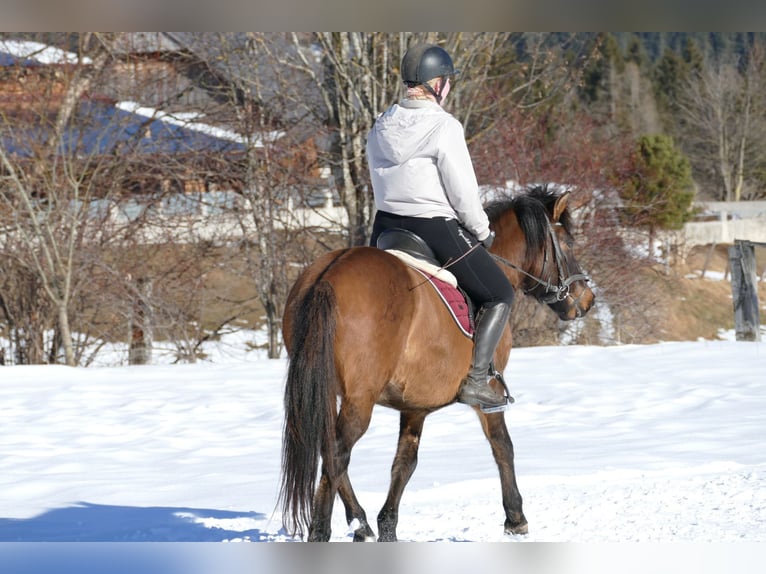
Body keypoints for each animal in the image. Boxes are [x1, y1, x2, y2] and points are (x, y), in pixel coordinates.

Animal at [280, 186, 596, 544]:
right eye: (567, 243)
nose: (587, 300)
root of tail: (330, 273)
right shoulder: (489, 390)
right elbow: (502, 445)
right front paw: (515, 518)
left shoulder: (414, 404)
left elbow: (405, 463)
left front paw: (388, 525)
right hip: (359, 398)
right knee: (337, 454)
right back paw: (323, 531)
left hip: (326, 391)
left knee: (331, 452)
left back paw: (360, 523)